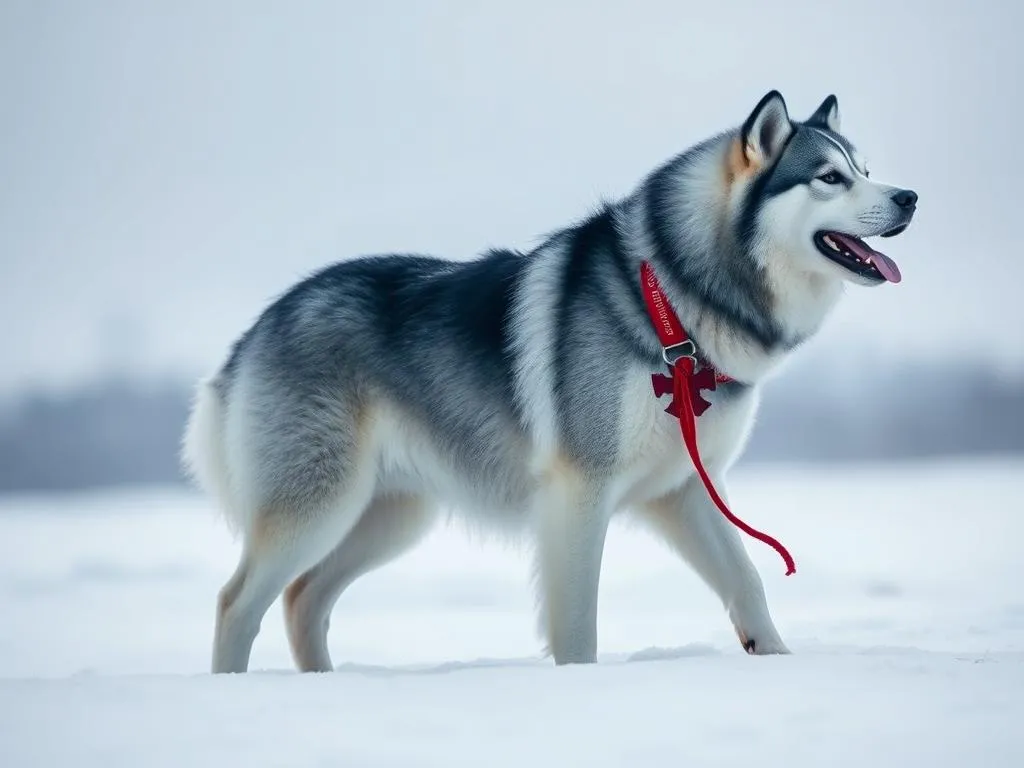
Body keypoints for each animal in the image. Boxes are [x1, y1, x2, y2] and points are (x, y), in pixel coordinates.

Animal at [182, 91, 921, 671]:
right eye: (828, 177)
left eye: (865, 171)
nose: (910, 196)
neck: (671, 302)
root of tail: (260, 324)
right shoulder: (579, 490)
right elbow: (577, 622)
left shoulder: (684, 488)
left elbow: (746, 582)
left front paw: (777, 661)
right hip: (320, 503)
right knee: (236, 602)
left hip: (390, 515)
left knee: (302, 599)